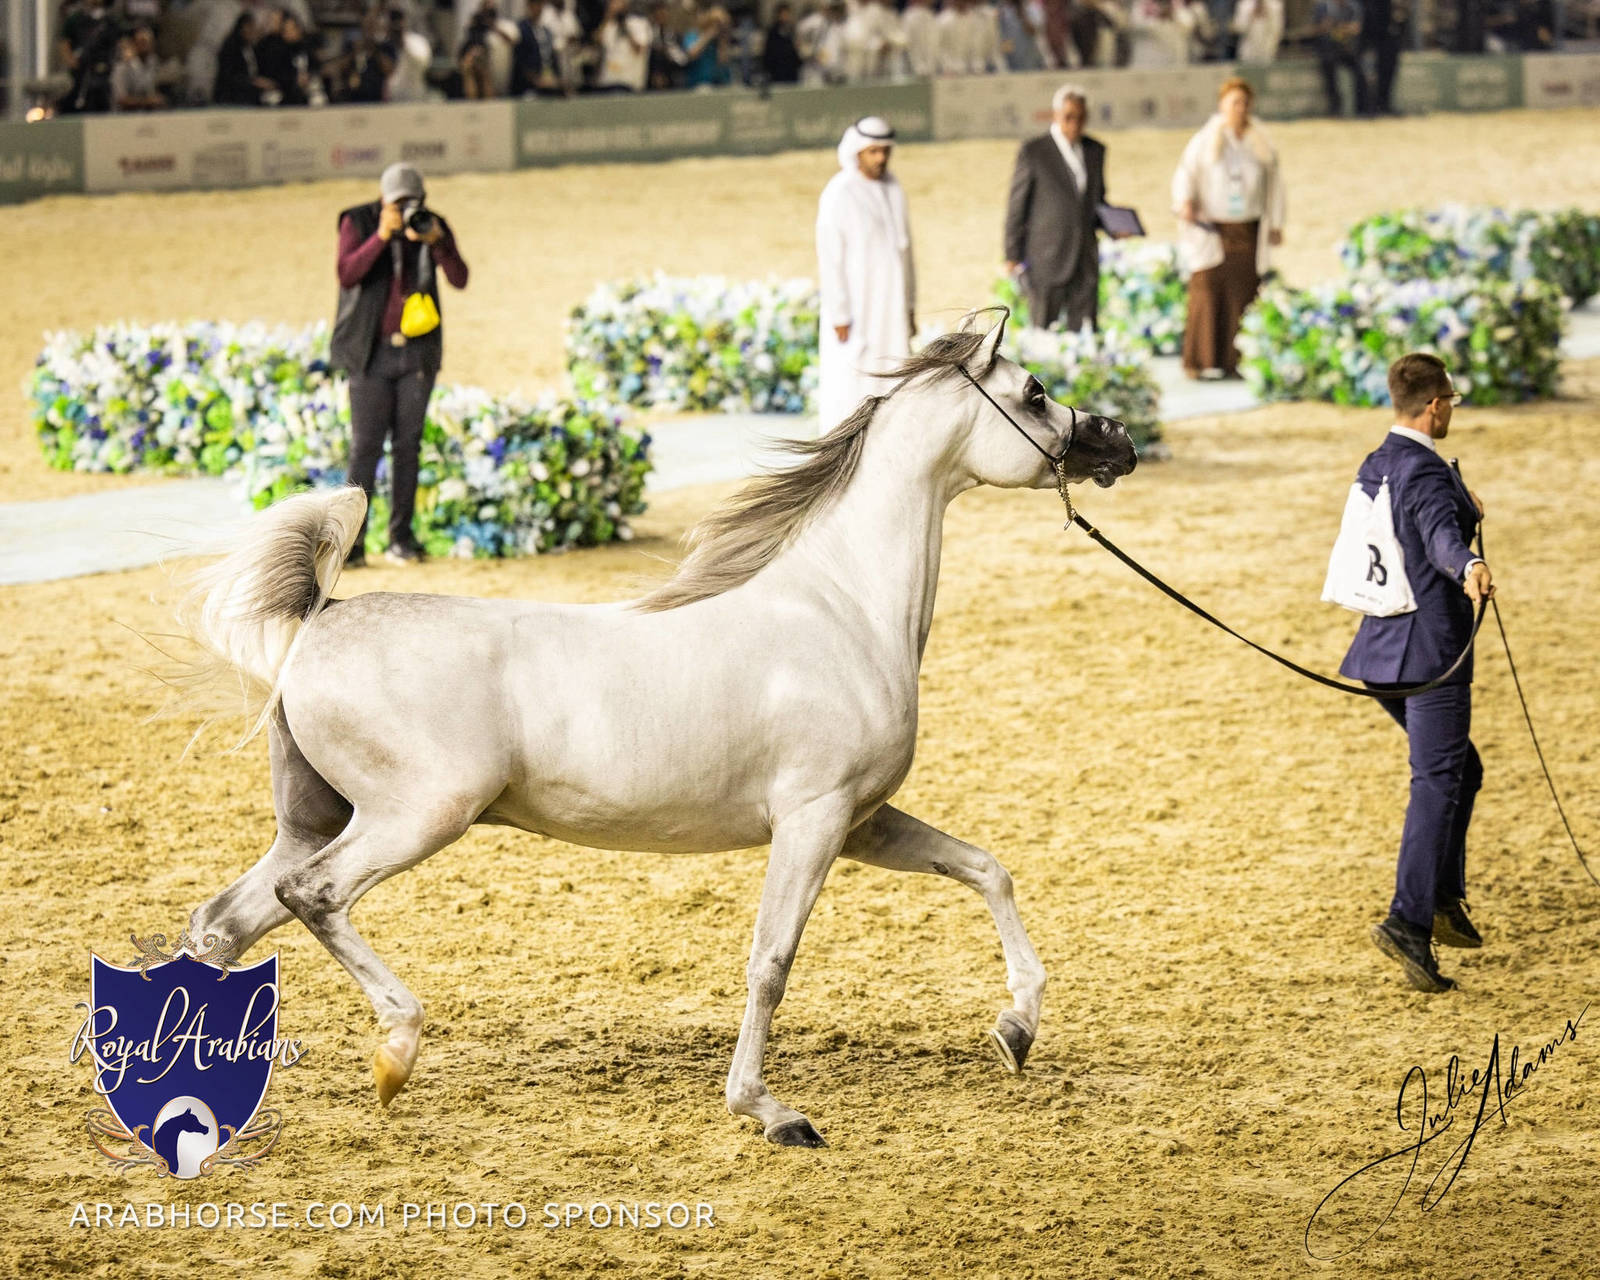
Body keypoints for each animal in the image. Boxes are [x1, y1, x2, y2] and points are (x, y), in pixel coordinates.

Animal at [175, 311, 1138, 1147]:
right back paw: (395, 1051)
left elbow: (984, 869)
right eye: (1037, 391)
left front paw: (1016, 1027)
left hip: (317, 821)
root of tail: (318, 621)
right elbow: (772, 961)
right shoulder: (814, 820)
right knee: (310, 898)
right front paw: (768, 1111)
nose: (1117, 442)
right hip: (415, 818)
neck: (844, 608)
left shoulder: (862, 822)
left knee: (225, 922)